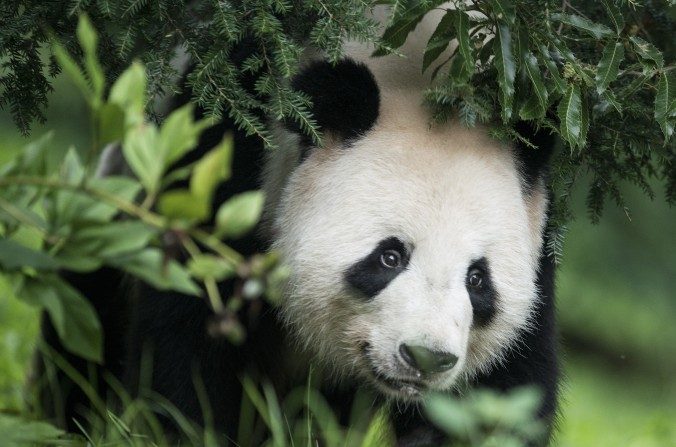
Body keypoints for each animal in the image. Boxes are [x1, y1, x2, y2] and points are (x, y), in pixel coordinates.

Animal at [42, 4, 560, 447]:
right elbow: (188, 341)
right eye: (390, 256)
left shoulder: (540, 237)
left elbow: (505, 391)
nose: (426, 358)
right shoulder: (232, 156)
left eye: (478, 279)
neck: (417, 73)